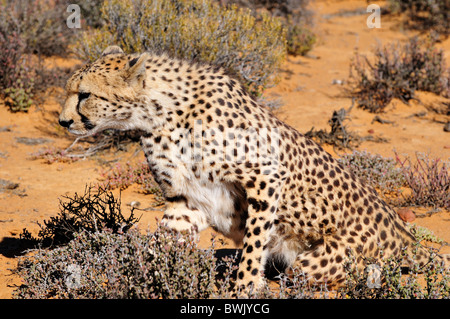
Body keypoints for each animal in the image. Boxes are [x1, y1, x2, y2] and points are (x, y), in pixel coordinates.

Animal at [59, 46, 446, 294]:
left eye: (84, 94)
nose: (63, 122)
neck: (159, 115)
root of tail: (405, 235)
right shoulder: (186, 198)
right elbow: (164, 242)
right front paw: (144, 274)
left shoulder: (265, 177)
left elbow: (254, 242)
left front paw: (244, 286)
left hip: (317, 256)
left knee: (327, 273)